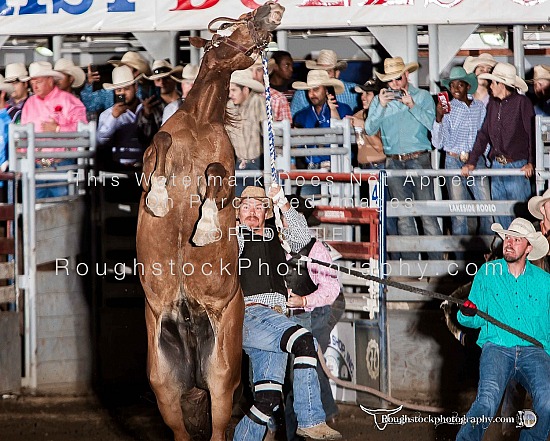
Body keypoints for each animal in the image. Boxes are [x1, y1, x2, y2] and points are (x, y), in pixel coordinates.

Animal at [135, 1, 284, 438]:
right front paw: (161, 199)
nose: (271, 11)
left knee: (219, 427)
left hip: (221, 375)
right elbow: (160, 144)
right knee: (180, 430)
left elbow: (216, 174)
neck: (200, 121)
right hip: (164, 383)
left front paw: (203, 228)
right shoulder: (150, 160)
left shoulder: (226, 176)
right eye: (232, 26)